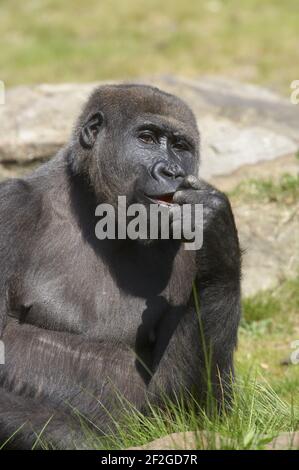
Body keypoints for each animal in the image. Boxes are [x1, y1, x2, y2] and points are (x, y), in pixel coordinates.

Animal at [0, 83, 241, 448]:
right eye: (147, 138)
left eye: (180, 147)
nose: (172, 172)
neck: (93, 206)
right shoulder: (10, 209)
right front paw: (75, 437)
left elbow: (188, 408)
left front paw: (217, 234)